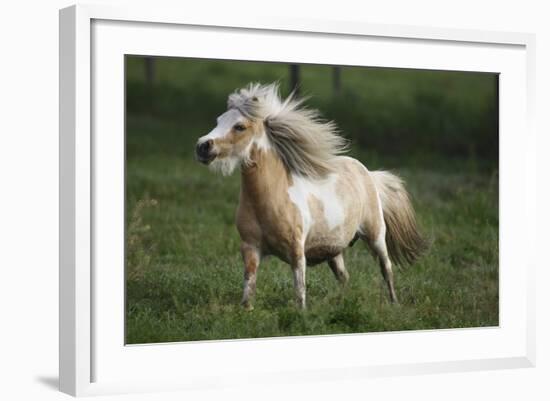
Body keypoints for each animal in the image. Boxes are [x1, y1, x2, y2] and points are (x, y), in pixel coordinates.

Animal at [196, 83, 430, 308]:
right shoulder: (250, 248)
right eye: (219, 120)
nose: (202, 146)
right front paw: (246, 310)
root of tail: (368, 173)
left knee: (386, 269)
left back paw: (394, 304)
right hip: (334, 250)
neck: (270, 201)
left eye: (240, 126)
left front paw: (302, 314)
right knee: (344, 277)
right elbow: (249, 285)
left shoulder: (296, 251)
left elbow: (300, 289)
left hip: (376, 236)